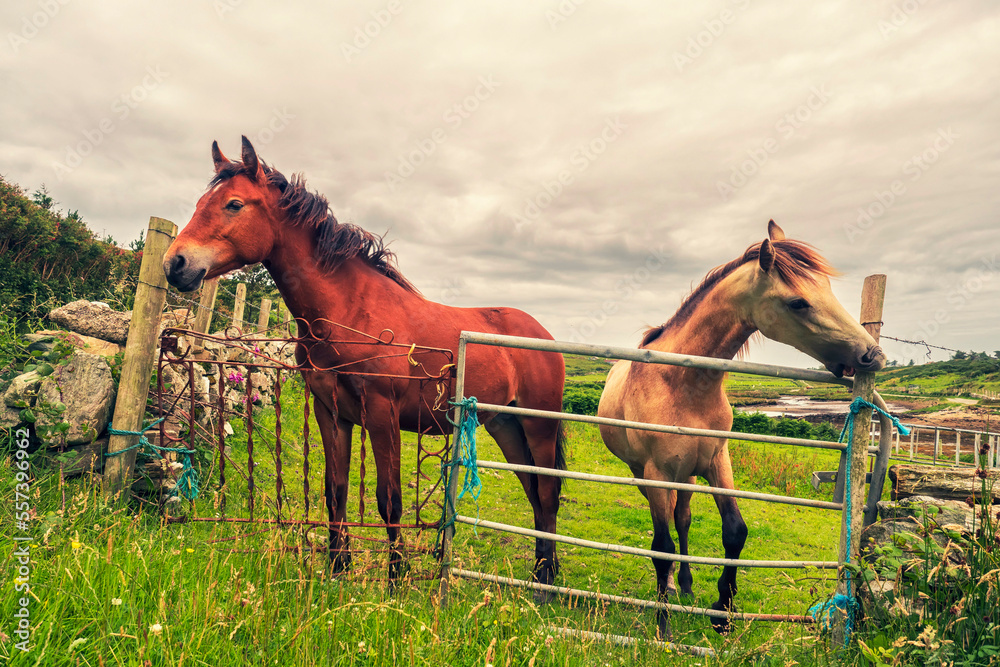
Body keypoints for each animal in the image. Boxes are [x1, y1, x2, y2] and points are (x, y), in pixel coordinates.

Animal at [162, 136, 566, 593]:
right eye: (202, 202)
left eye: (233, 204)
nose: (175, 264)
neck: (349, 311)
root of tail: (543, 334)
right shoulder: (332, 413)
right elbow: (335, 489)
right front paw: (338, 567)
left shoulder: (381, 414)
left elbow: (389, 499)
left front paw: (396, 576)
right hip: (506, 427)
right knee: (535, 493)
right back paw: (541, 572)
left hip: (539, 426)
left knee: (547, 493)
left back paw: (546, 580)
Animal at [597, 220, 885, 637]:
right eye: (798, 302)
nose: (872, 355)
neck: (681, 383)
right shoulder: (657, 473)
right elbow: (661, 547)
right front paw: (664, 626)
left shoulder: (719, 461)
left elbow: (734, 531)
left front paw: (723, 611)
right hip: (646, 475)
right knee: (668, 527)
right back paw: (672, 588)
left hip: (688, 475)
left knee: (683, 519)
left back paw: (685, 583)